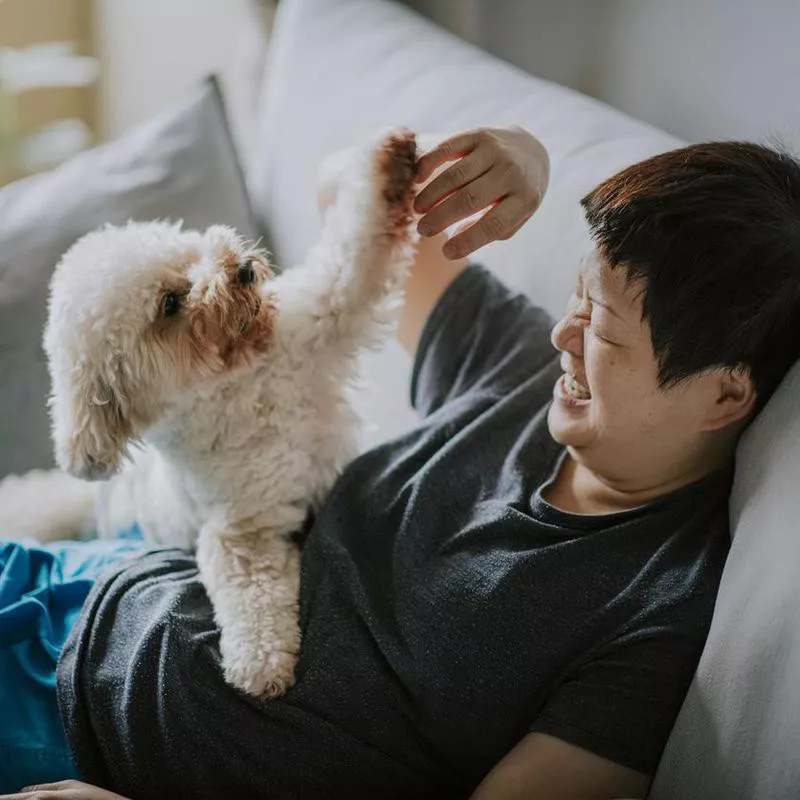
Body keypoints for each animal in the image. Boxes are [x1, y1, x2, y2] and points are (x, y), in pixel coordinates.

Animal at [0, 130, 422, 692]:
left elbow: (355, 249)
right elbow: (251, 596)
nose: (239, 266)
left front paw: (389, 163)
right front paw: (259, 663)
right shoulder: (242, 529)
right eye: (170, 304)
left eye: (189, 254)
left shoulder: (325, 311)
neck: (239, 386)